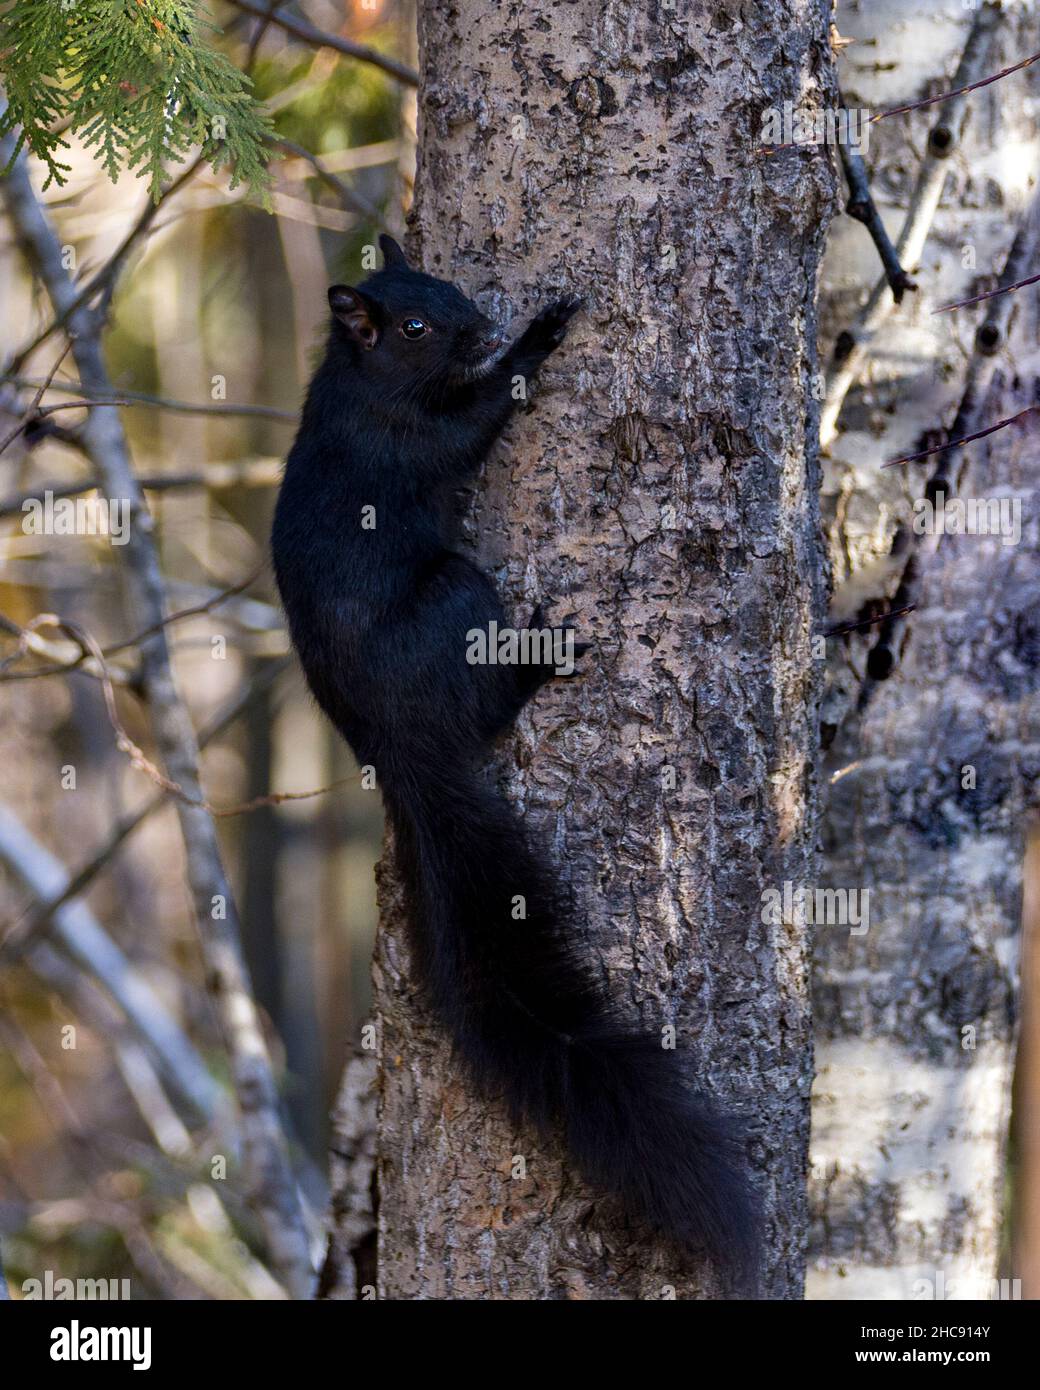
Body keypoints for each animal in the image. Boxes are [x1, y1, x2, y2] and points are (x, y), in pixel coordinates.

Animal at [268, 233, 761, 1284]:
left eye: (445, 286)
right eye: (415, 324)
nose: (486, 322)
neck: (359, 380)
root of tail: (399, 749)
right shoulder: (409, 438)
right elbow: (481, 419)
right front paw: (541, 337)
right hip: (458, 592)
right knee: (487, 705)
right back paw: (545, 654)